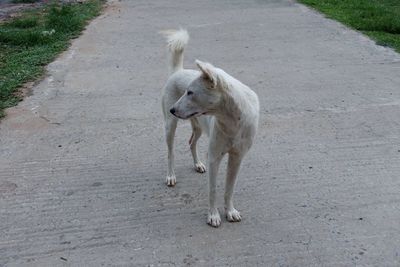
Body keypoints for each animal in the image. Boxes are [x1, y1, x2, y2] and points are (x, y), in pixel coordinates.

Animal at [160, 29, 260, 227]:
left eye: (190, 92)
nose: (172, 109)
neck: (232, 120)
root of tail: (178, 71)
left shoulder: (237, 158)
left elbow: (229, 188)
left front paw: (230, 211)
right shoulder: (215, 156)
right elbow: (213, 190)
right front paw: (213, 215)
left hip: (198, 127)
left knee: (191, 142)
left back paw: (198, 164)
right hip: (170, 126)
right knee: (170, 153)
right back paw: (171, 176)